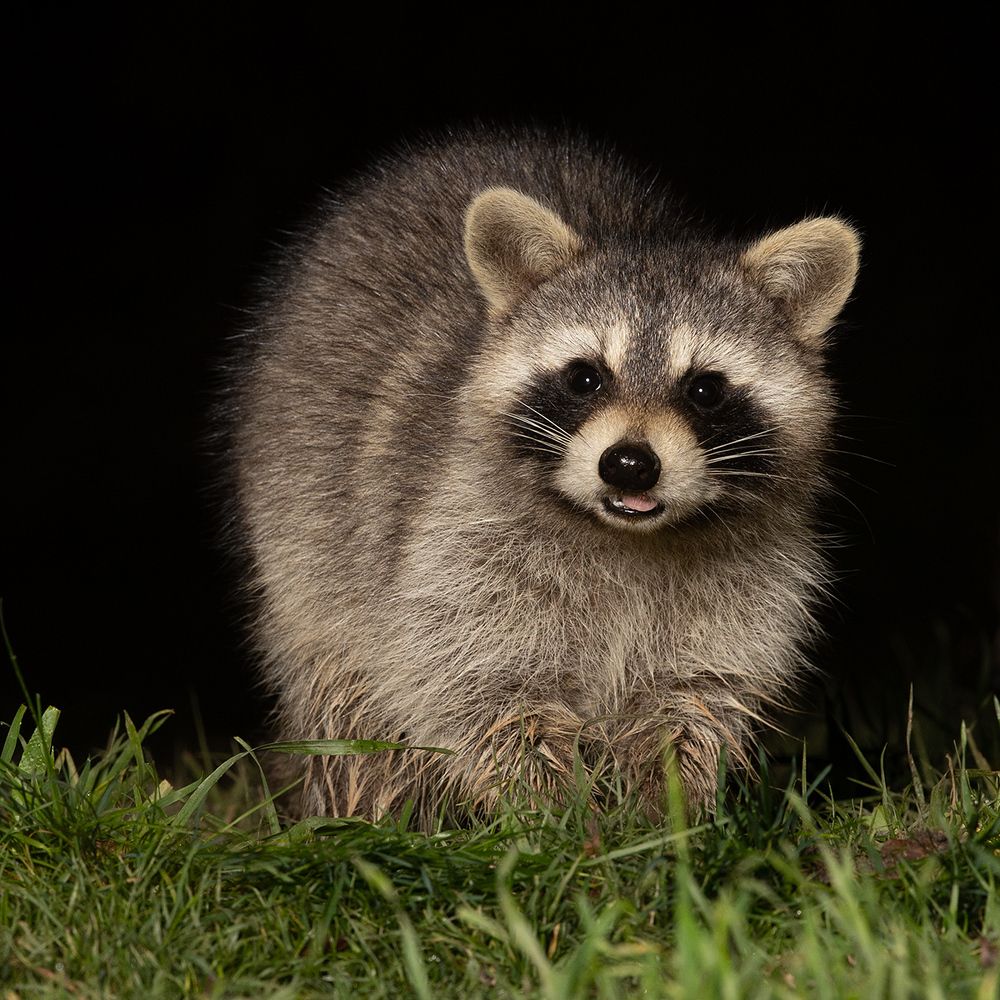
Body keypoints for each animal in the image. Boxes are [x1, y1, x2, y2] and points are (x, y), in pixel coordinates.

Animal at [228, 129, 860, 826]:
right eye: (586, 377)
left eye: (704, 390)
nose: (630, 462)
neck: (625, 540)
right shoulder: (453, 547)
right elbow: (468, 685)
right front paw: (555, 810)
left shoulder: (749, 584)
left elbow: (696, 695)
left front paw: (666, 809)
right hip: (304, 546)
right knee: (347, 698)